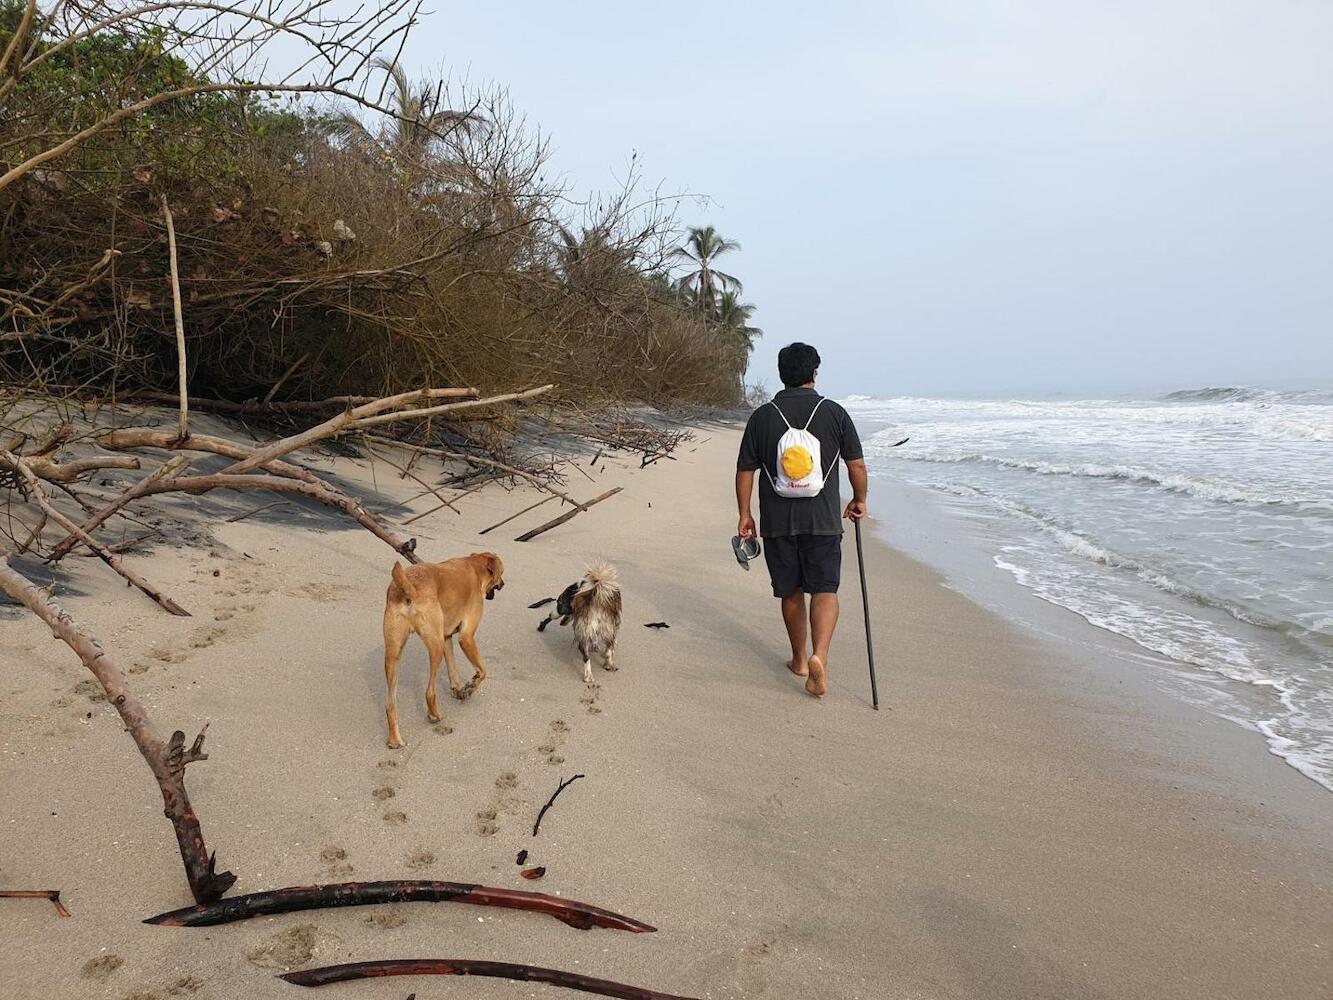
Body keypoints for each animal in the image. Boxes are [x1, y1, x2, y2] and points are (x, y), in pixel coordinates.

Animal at [381, 552, 503, 746]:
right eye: (502, 573)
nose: (503, 584)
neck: (474, 566)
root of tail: (408, 585)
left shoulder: (447, 638)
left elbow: (453, 671)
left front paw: (459, 690)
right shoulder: (466, 638)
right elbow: (483, 671)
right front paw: (471, 686)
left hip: (393, 654)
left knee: (390, 705)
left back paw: (395, 740)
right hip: (435, 648)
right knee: (429, 692)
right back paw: (434, 715)